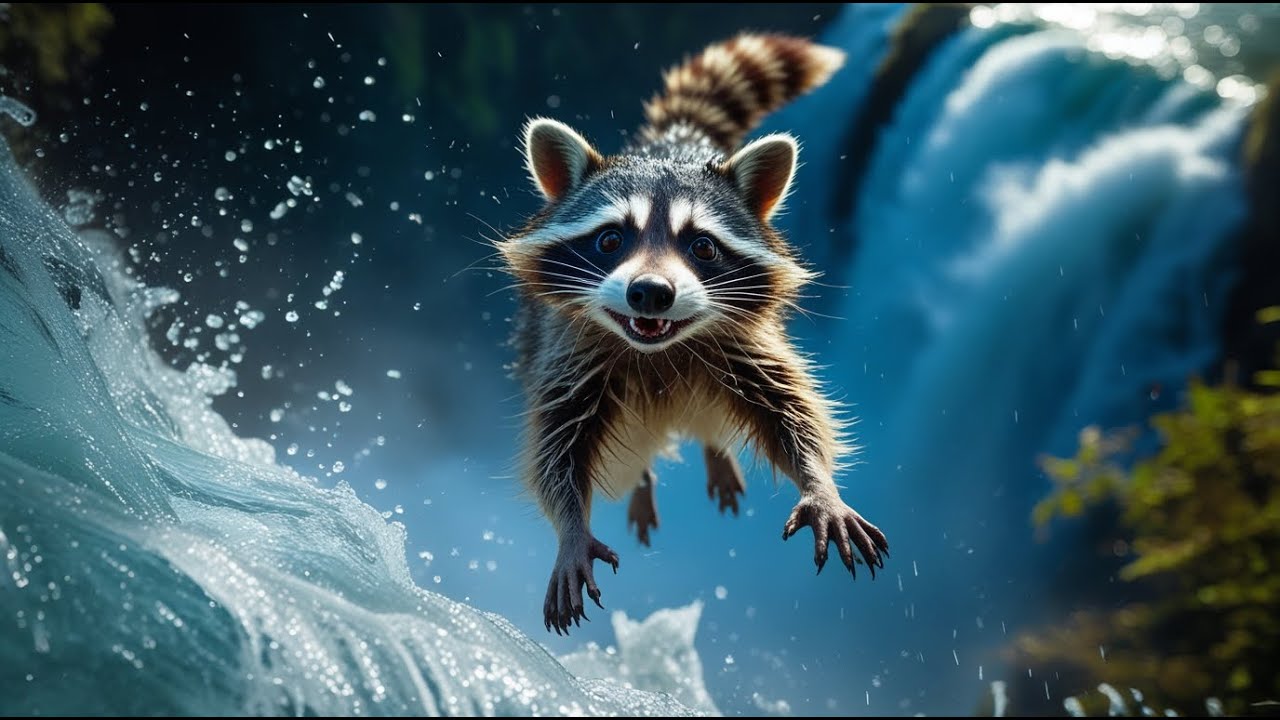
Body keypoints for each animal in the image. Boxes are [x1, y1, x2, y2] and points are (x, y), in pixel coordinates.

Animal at [497, 33, 888, 635]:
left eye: (702, 246)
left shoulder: (747, 343)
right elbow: (555, 452)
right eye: (610, 239)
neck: (659, 348)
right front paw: (571, 527)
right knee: (629, 450)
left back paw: (714, 450)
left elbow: (793, 412)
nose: (650, 293)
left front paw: (820, 482)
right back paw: (643, 482)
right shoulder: (566, 356)